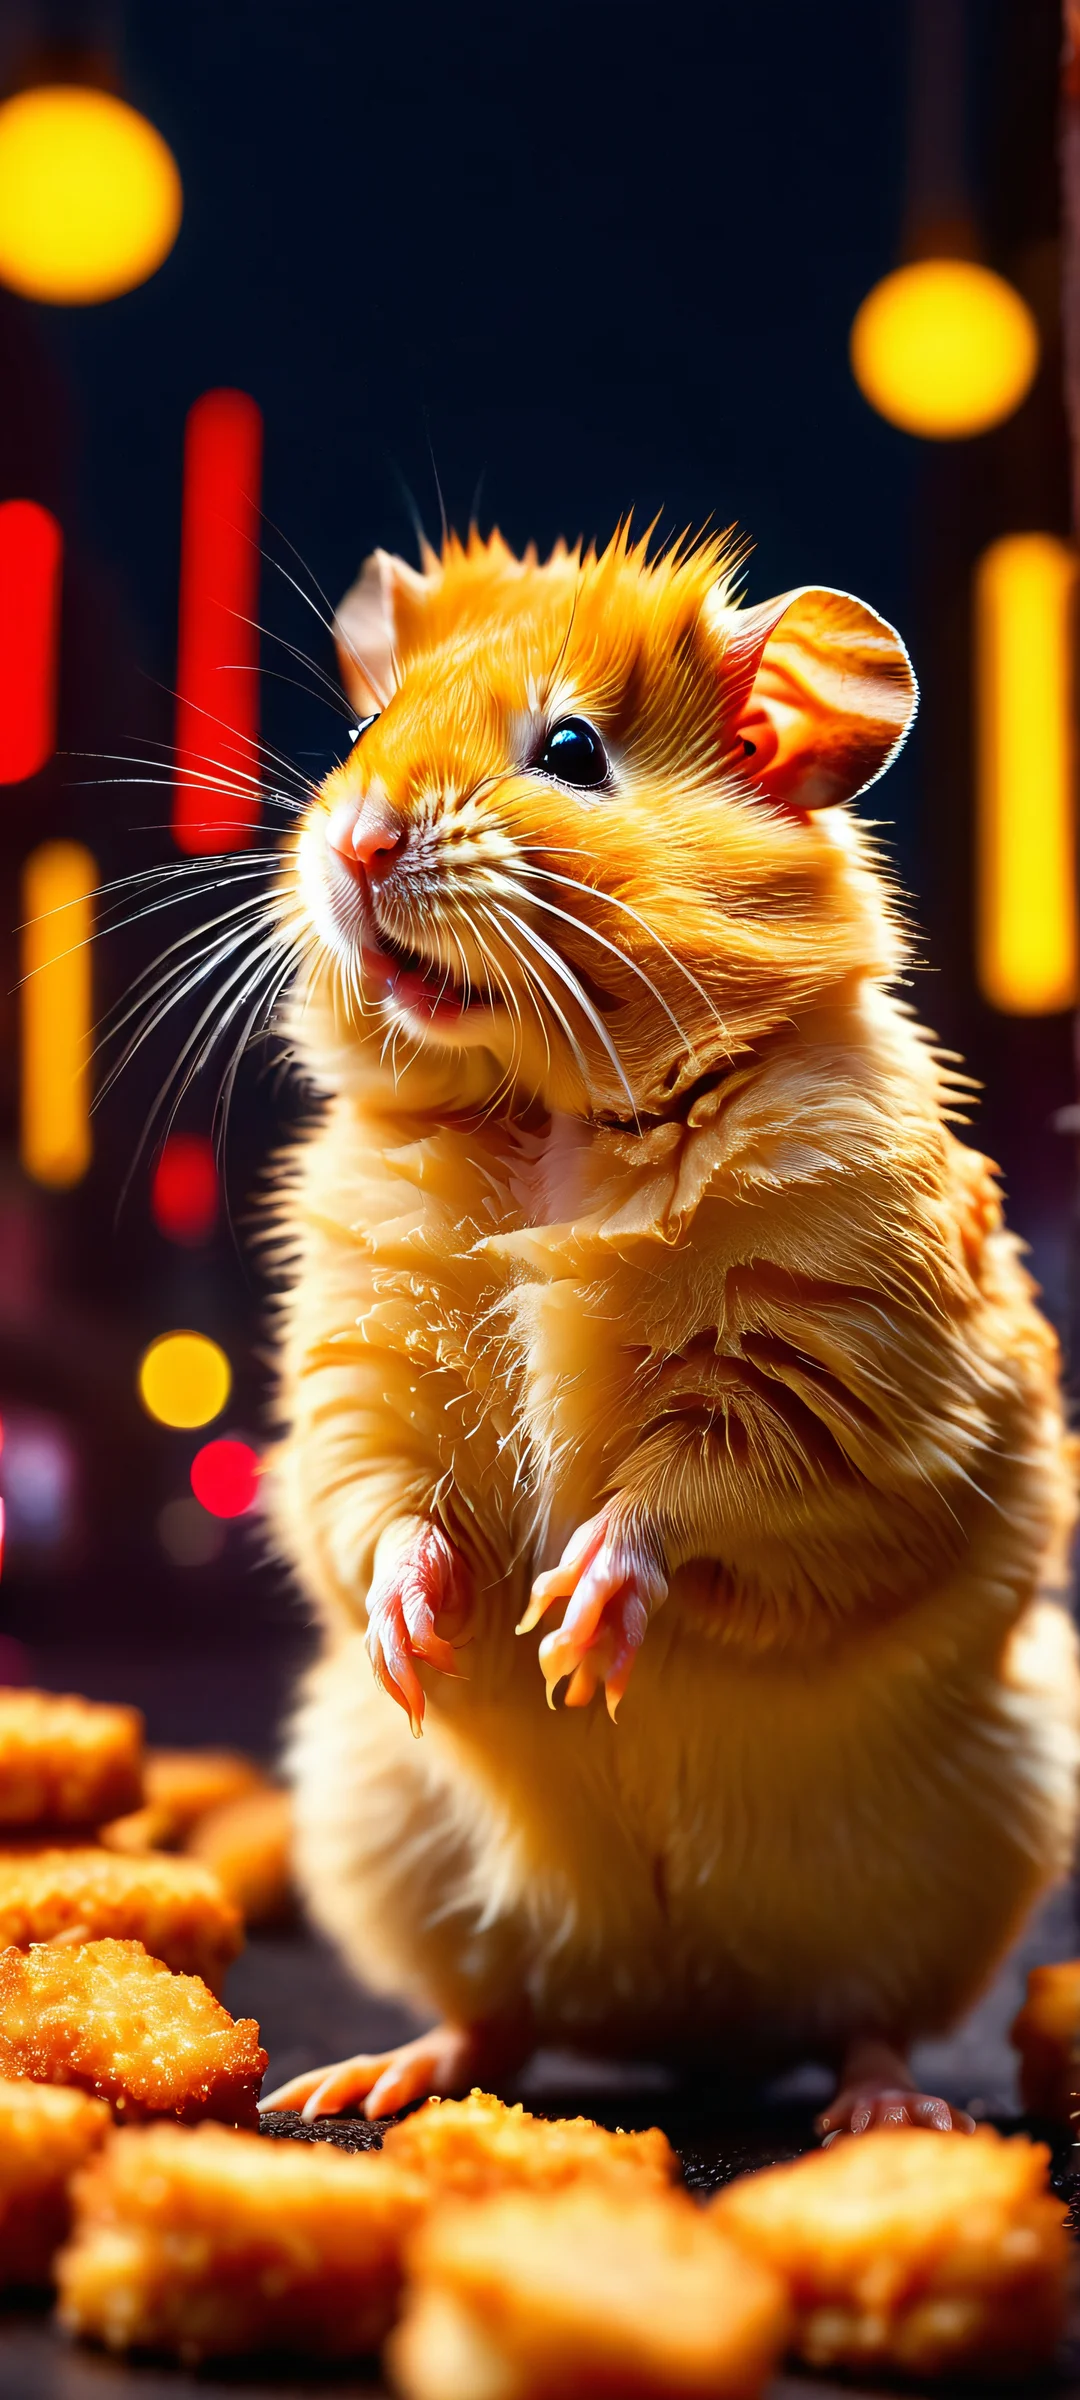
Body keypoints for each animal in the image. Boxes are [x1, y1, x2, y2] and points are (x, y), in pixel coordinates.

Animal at [261, 524, 1079, 2130]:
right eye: (359, 733)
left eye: (573, 750)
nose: (360, 840)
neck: (547, 1108)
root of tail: (681, 2022)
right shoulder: (355, 1363)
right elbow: (377, 1508)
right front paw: (428, 1640)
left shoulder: (835, 1377)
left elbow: (691, 1493)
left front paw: (576, 1641)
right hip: (385, 1835)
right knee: (498, 2021)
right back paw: (359, 2082)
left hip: (971, 1850)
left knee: (869, 2018)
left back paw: (891, 2113)